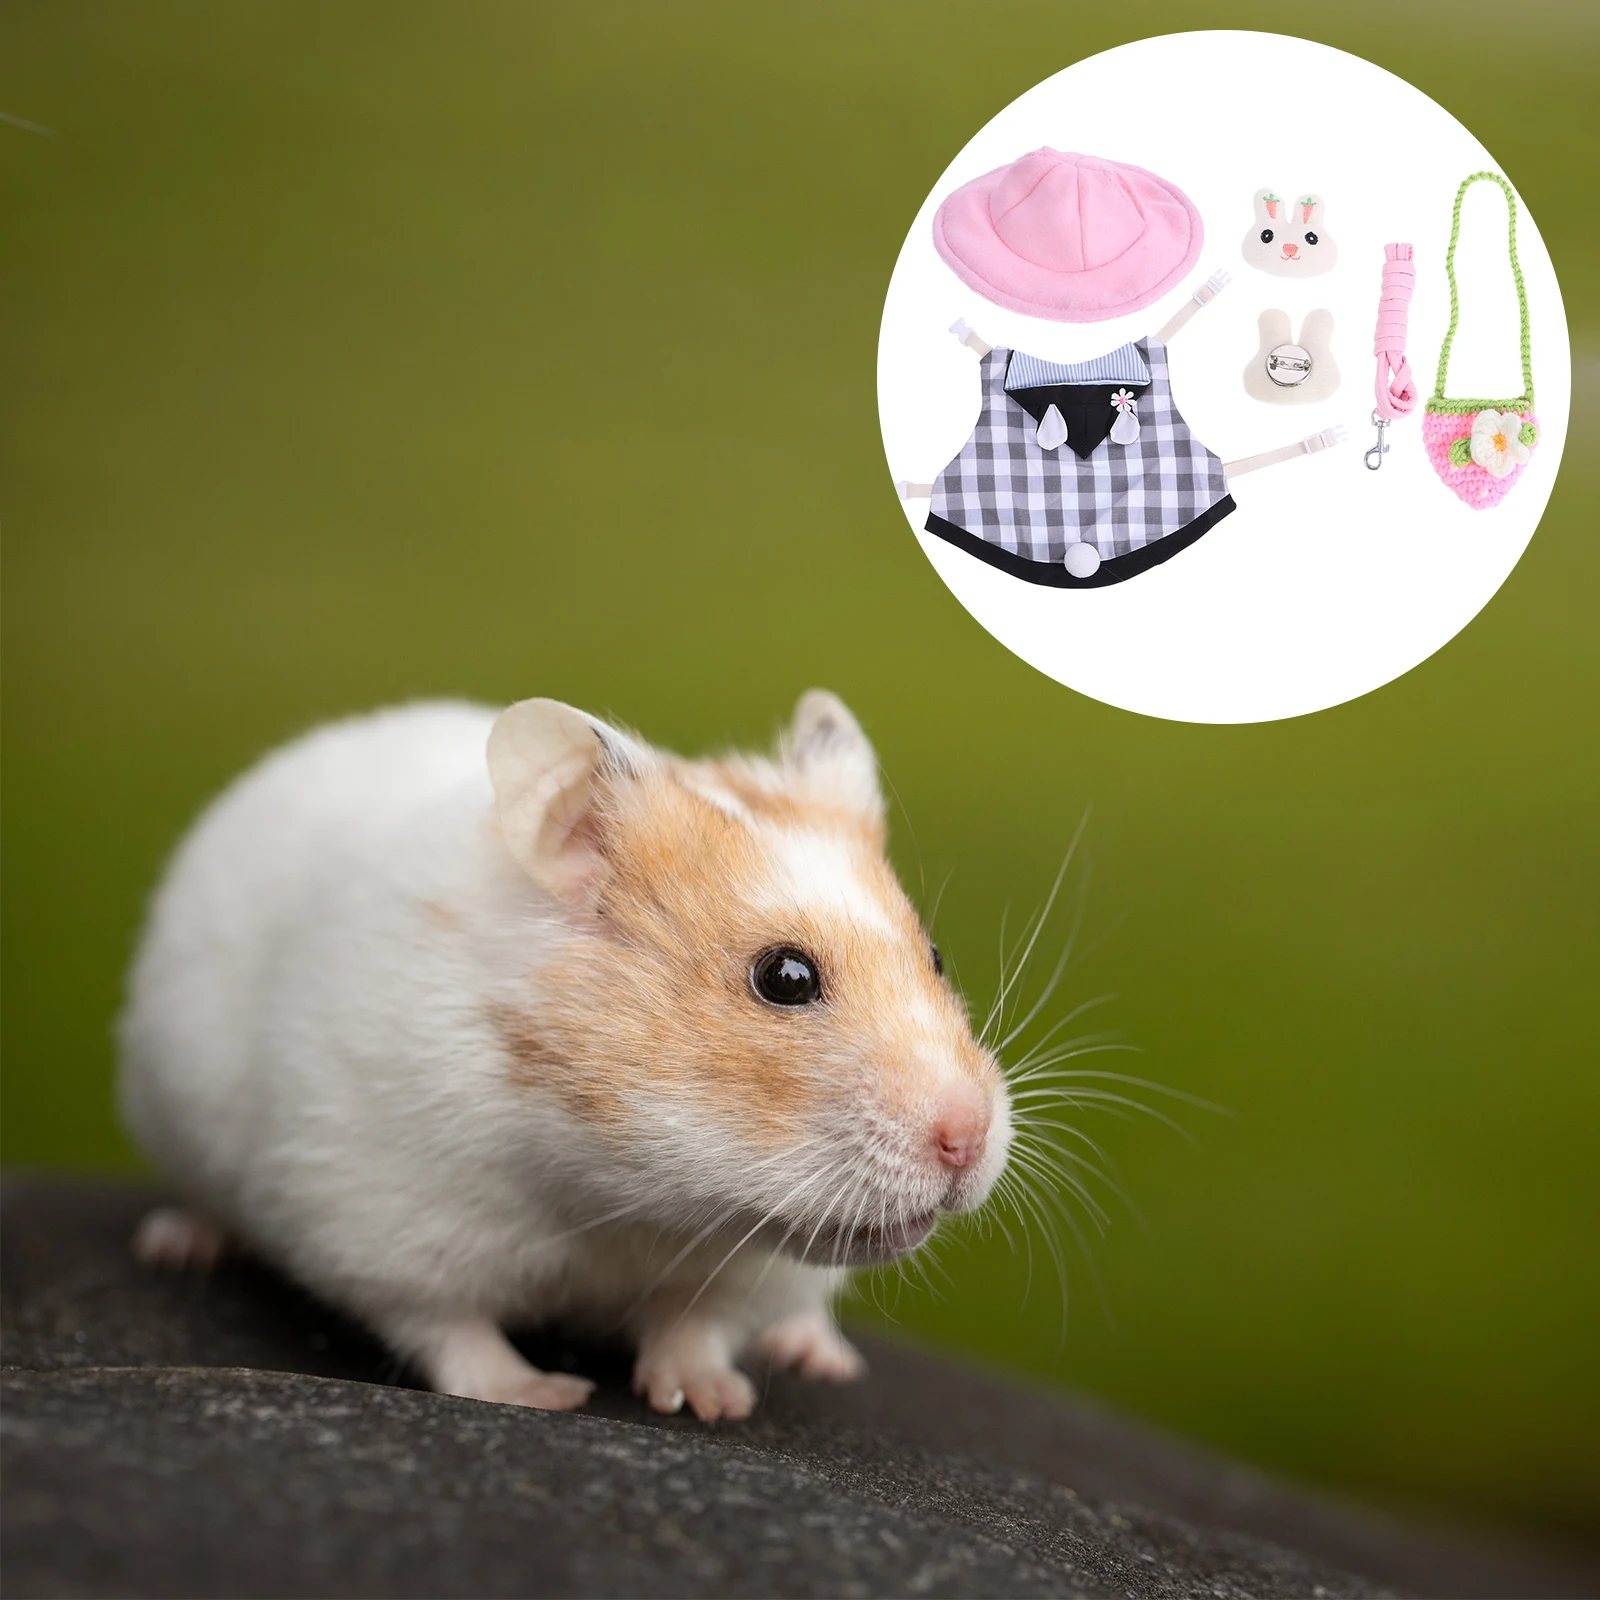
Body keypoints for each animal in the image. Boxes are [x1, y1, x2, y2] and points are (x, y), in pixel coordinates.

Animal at [117, 692, 1013, 1422]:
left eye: (935, 957)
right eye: (784, 977)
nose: (967, 1140)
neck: (625, 1196)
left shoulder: (745, 1271)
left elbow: (696, 1326)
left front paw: (712, 1402)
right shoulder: (376, 1213)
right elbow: (450, 1329)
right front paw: (545, 1395)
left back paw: (816, 1354)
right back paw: (179, 1244)